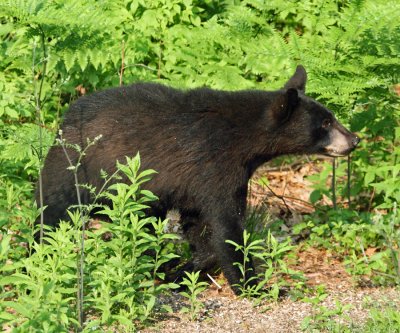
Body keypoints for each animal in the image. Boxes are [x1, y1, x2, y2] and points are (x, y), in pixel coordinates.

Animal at [35, 65, 360, 294]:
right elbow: (226, 224)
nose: (354, 139)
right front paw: (254, 286)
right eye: (326, 123)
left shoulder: (195, 183)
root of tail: (63, 120)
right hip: (73, 169)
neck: (244, 140)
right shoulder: (214, 166)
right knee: (53, 210)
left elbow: (201, 227)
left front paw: (182, 272)